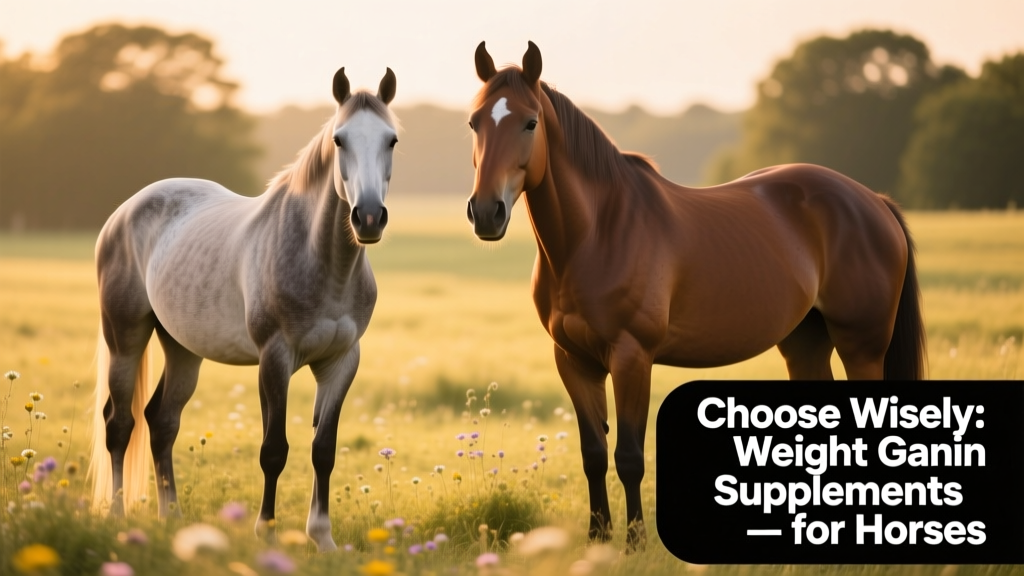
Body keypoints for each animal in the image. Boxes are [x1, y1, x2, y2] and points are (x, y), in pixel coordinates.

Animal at [88, 67, 399, 552]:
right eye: (339, 140)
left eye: (391, 140)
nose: (368, 217)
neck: (321, 261)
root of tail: (124, 211)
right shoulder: (274, 359)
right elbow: (274, 450)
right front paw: (266, 534)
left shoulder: (341, 362)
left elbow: (323, 450)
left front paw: (322, 539)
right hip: (125, 338)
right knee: (119, 424)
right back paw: (119, 517)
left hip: (182, 349)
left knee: (162, 421)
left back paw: (171, 517)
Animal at [466, 41, 926, 551]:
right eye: (474, 122)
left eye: (530, 122)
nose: (486, 212)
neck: (596, 234)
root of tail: (874, 201)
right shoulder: (572, 360)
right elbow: (594, 454)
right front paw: (597, 540)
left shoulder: (632, 357)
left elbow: (629, 456)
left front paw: (635, 545)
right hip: (805, 344)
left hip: (862, 345)